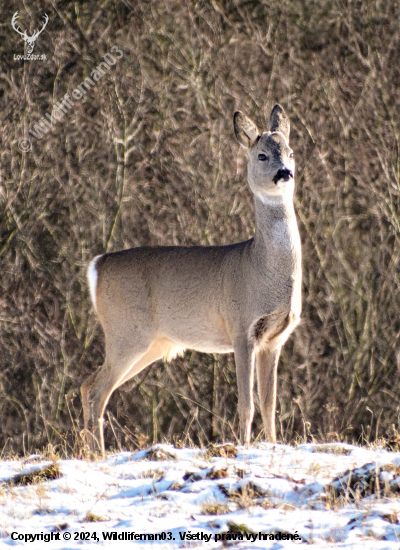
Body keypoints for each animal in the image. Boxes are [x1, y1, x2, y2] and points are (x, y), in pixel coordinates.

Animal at [82, 105, 300, 454]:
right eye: (262, 155)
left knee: (88, 384)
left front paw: (273, 446)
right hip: (126, 332)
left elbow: (270, 403)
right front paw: (243, 447)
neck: (261, 266)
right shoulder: (241, 327)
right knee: (96, 390)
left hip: (152, 344)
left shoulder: (275, 338)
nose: (285, 173)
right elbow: (247, 403)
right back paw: (98, 454)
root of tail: (97, 266)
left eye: (291, 152)